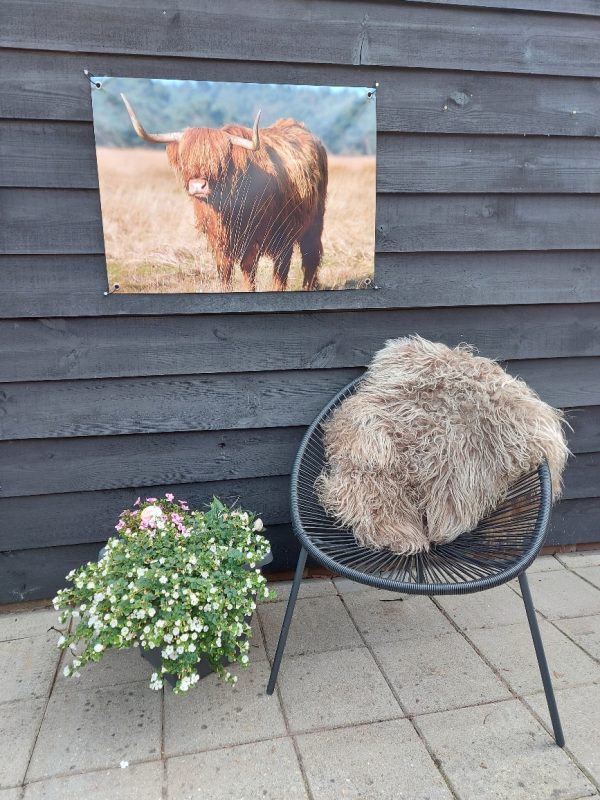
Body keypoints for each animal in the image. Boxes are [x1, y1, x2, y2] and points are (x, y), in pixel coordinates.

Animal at [122, 95, 328, 292]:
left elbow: (250, 271)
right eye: (185, 158)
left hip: (309, 224)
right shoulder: (218, 240)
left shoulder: (257, 239)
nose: (198, 186)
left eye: (221, 161)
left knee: (304, 259)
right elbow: (225, 272)